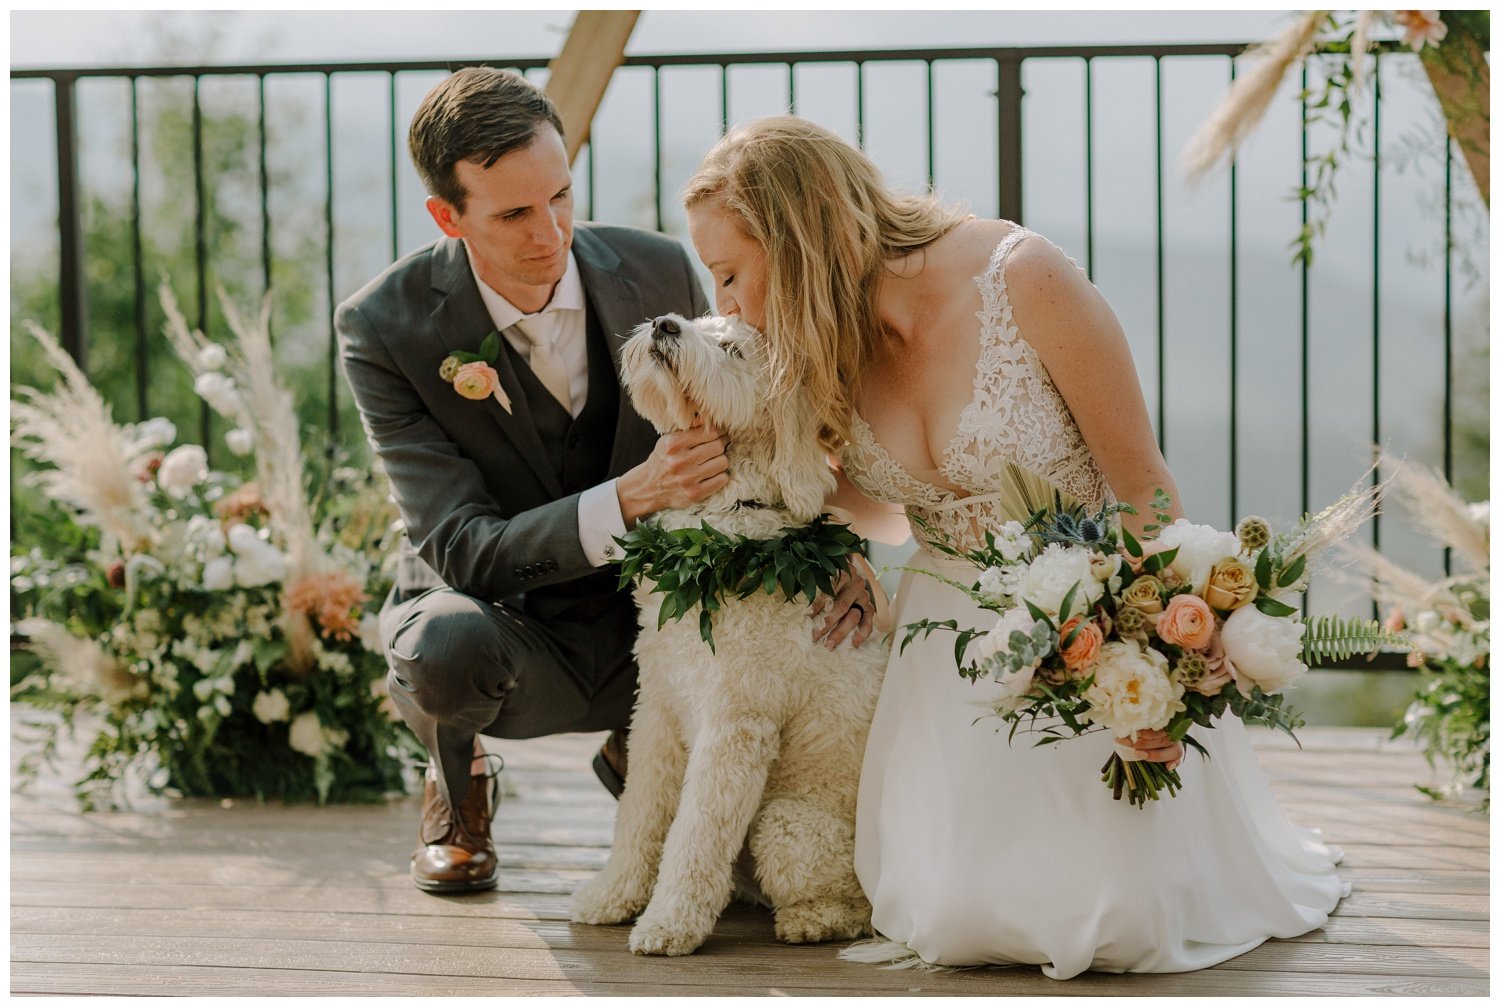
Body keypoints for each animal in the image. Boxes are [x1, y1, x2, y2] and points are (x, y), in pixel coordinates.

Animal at [567, 316, 882, 960]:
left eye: (733, 348)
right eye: (696, 320)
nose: (665, 324)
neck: (716, 532)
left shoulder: (736, 725)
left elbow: (695, 833)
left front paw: (668, 924)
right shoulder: (658, 705)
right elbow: (639, 812)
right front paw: (613, 896)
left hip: (785, 826)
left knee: (860, 911)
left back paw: (811, 920)